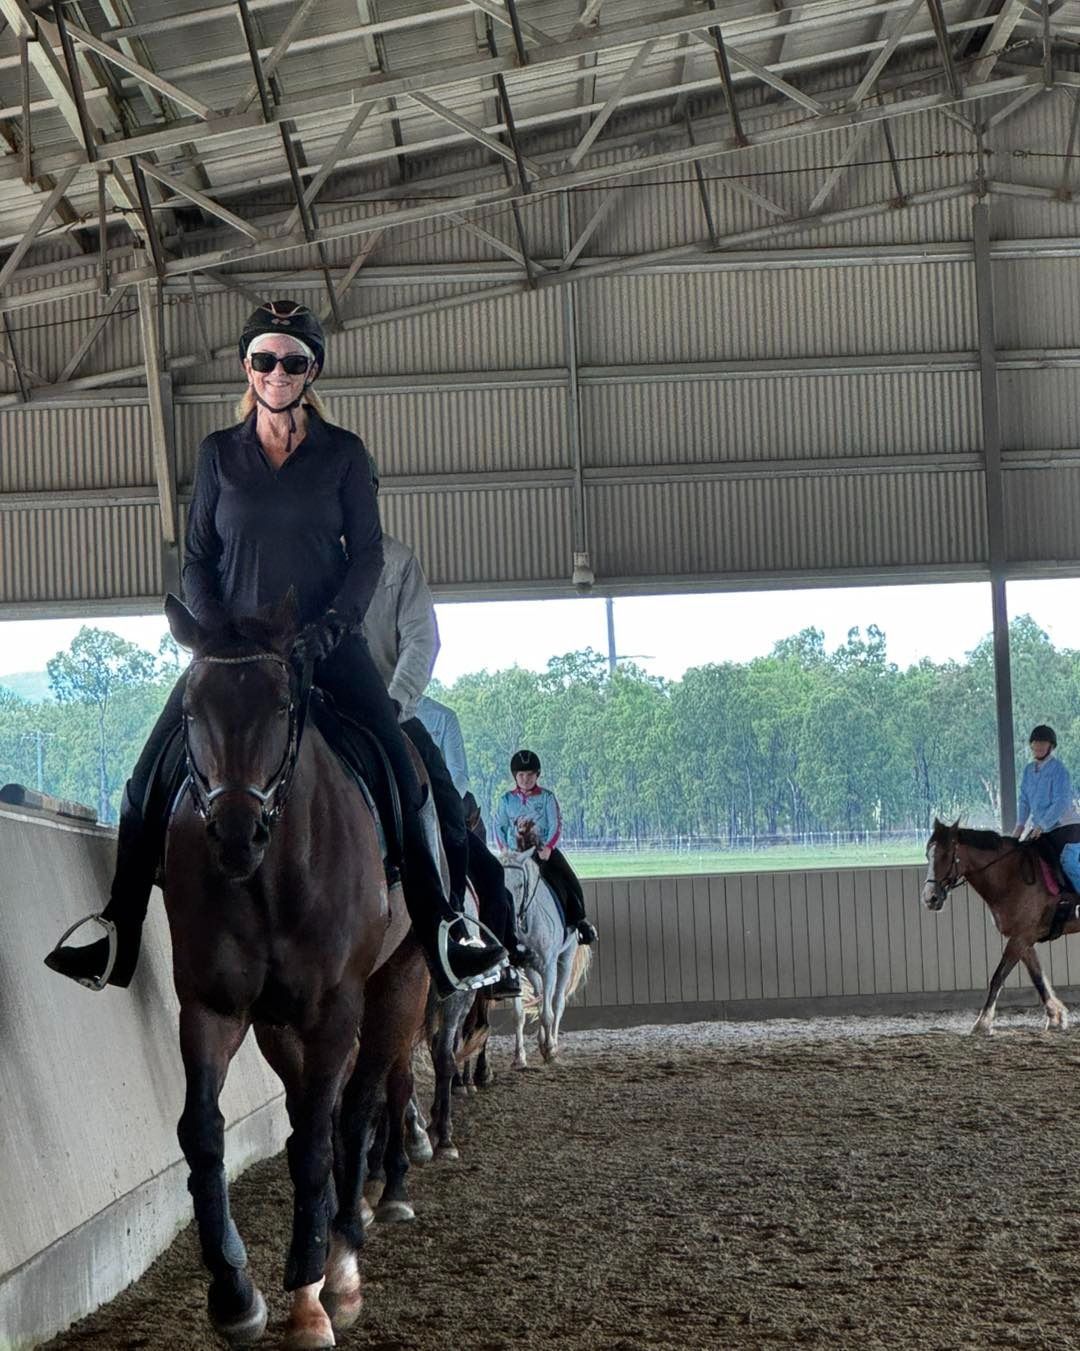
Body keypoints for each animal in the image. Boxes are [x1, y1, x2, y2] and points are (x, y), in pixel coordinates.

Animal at [162, 594, 428, 1348]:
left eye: (283, 703)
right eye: (190, 706)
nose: (234, 834)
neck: (269, 876)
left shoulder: (334, 1008)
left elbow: (315, 1140)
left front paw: (313, 1294)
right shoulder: (212, 1006)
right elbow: (203, 1132)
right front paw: (234, 1291)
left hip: (401, 984)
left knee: (361, 1104)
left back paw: (349, 1246)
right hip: (279, 1024)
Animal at [501, 831, 591, 1066]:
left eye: (520, 885)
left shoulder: (549, 967)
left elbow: (549, 1012)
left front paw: (550, 1050)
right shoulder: (516, 966)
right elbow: (519, 1015)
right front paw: (519, 1058)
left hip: (565, 959)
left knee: (556, 1002)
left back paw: (551, 1044)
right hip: (531, 968)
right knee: (542, 997)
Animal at [922, 817, 1080, 1035]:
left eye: (946, 854)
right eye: (928, 853)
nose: (930, 898)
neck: (1011, 877)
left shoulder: (1020, 938)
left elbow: (998, 977)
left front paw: (982, 1023)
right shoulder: (1024, 939)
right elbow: (1038, 977)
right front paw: (1055, 1017)